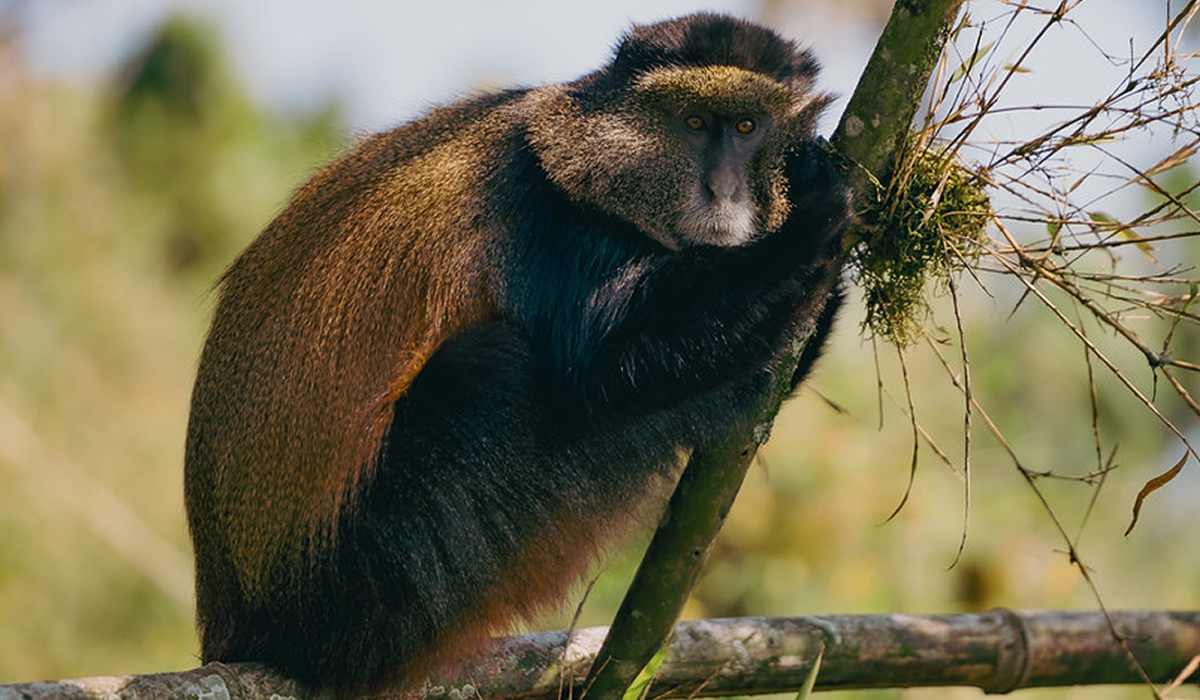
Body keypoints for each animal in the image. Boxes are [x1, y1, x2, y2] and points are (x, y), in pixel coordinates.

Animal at [184, 12, 850, 694]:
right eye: (693, 123)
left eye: (747, 128)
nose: (723, 189)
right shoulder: (557, 223)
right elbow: (608, 371)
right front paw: (811, 216)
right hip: (355, 580)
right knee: (495, 366)